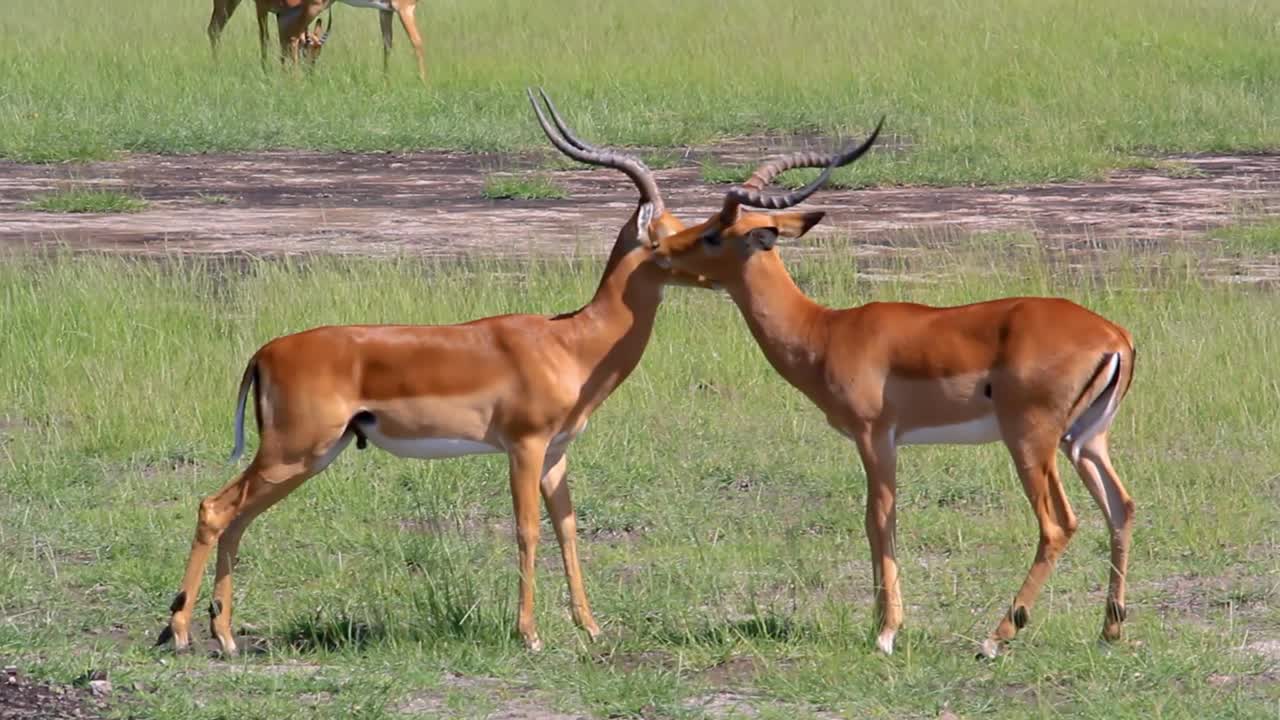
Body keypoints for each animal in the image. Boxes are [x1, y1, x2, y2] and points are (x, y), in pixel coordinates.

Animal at [155, 89, 700, 656]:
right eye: (670, 233)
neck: (570, 342)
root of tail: (264, 352)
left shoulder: (555, 454)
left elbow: (567, 529)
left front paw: (590, 627)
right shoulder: (524, 447)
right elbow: (526, 529)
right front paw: (529, 634)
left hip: (307, 456)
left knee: (236, 518)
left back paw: (224, 635)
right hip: (293, 451)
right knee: (214, 509)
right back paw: (182, 632)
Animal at [208, 0, 427, 80]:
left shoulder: (385, 11)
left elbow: (387, 45)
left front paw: (386, 81)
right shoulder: (405, 8)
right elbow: (417, 43)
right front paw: (423, 83)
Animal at [651, 121, 1138, 659]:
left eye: (714, 234)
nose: (660, 251)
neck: (825, 332)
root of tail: (1114, 336)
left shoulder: (874, 437)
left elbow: (878, 519)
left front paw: (885, 632)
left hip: (1031, 441)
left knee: (1058, 524)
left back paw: (995, 637)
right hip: (1084, 441)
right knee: (1121, 508)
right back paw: (1109, 630)